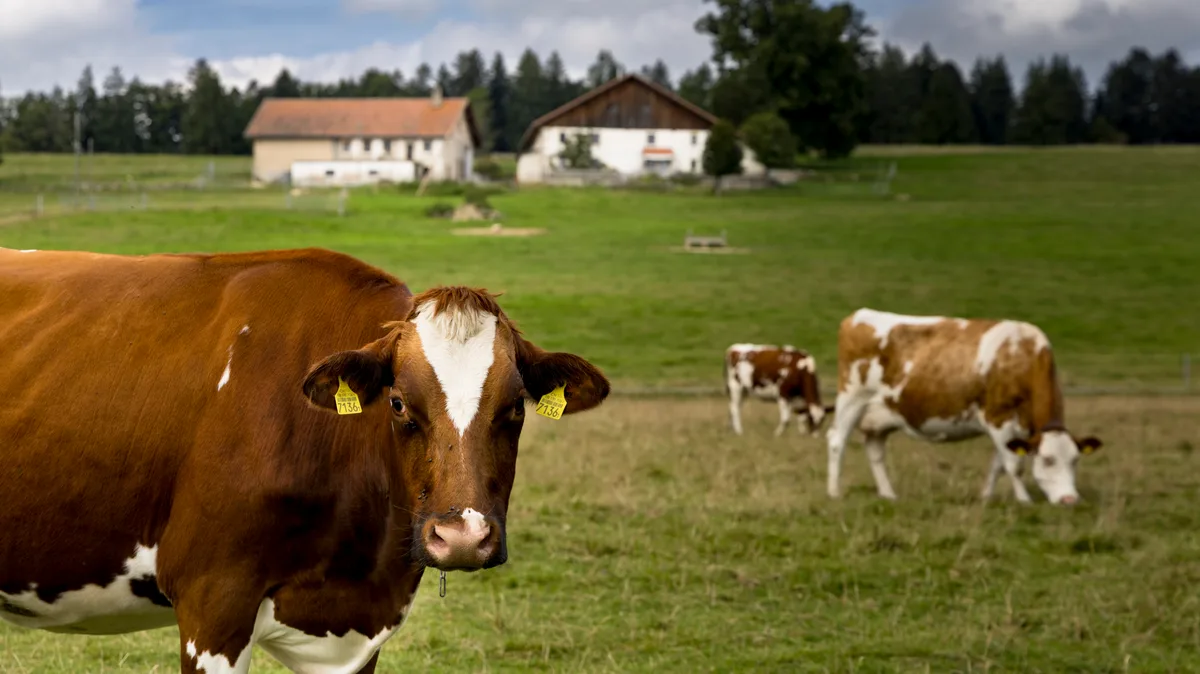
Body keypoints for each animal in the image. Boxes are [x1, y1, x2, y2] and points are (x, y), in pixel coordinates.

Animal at [824, 308, 1102, 505]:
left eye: (1076, 459)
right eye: (1047, 460)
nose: (1069, 500)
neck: (1022, 355)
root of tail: (857, 316)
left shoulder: (1015, 428)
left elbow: (999, 463)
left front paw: (986, 497)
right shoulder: (998, 417)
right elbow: (1013, 464)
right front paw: (1024, 501)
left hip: (881, 415)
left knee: (875, 450)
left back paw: (888, 494)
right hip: (852, 397)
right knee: (837, 440)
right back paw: (834, 492)